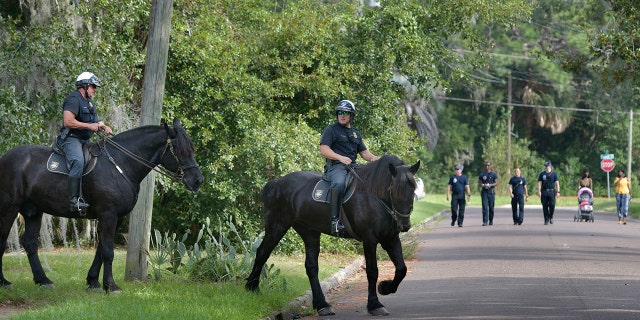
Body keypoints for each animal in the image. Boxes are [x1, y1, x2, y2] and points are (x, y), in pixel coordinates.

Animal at [0, 118, 202, 292]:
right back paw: (5, 282)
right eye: (178, 149)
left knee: (30, 243)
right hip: (9, 208)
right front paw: (111, 286)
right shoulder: (108, 215)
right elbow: (107, 251)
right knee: (3, 240)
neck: (120, 164)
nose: (198, 180)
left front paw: (93, 281)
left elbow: (101, 249)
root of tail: (5, 158)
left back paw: (43, 280)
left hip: (33, 211)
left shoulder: (116, 217)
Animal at [245, 154, 420, 316]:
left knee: (311, 267)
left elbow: (402, 268)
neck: (374, 196)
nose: (405, 225)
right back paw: (252, 288)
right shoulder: (369, 240)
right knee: (262, 253)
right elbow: (372, 271)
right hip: (277, 226)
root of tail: (276, 183)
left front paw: (385, 288)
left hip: (309, 232)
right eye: (394, 189)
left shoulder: (390, 238)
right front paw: (375, 305)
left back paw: (322, 305)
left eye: (413, 188)